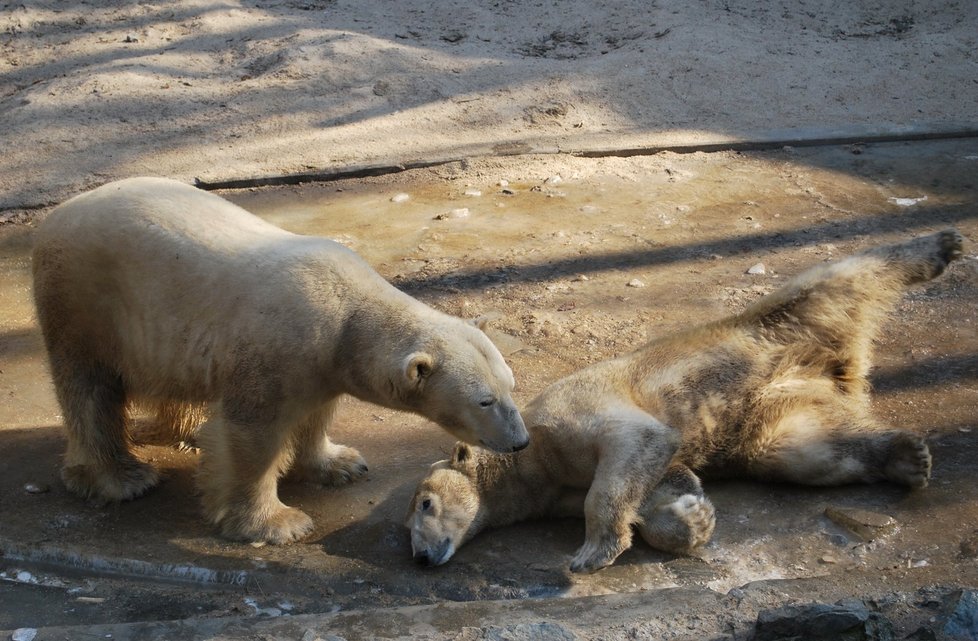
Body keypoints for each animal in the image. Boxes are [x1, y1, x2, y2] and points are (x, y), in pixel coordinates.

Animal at [32, 176, 528, 544]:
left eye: (511, 386)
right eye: (484, 401)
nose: (520, 442)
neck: (347, 312)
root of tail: (58, 213)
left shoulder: (321, 362)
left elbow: (315, 412)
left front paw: (339, 464)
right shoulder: (277, 349)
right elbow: (252, 435)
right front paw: (276, 523)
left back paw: (188, 431)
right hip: (84, 300)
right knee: (88, 387)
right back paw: (122, 478)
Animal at [404, 229, 960, 568]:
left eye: (425, 504)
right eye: (413, 520)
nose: (420, 557)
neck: (531, 459)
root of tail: (838, 369)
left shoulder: (567, 414)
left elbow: (633, 446)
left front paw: (592, 553)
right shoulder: (557, 487)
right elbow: (663, 482)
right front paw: (693, 518)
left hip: (779, 324)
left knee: (834, 283)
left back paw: (940, 246)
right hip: (776, 408)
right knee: (801, 448)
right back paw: (908, 457)